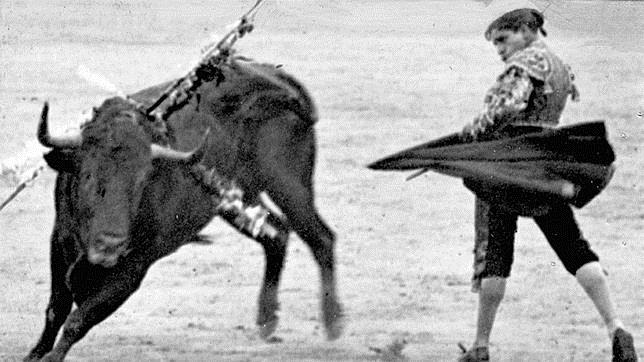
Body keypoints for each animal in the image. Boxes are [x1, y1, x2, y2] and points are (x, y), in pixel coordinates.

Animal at [26, 60, 342, 360]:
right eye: (88, 175)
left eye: (143, 179)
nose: (110, 245)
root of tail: (282, 83)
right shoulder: (59, 240)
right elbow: (56, 308)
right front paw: (35, 353)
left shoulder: (134, 268)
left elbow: (80, 318)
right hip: (237, 198)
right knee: (276, 234)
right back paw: (267, 320)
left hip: (289, 186)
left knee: (321, 238)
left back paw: (332, 323)